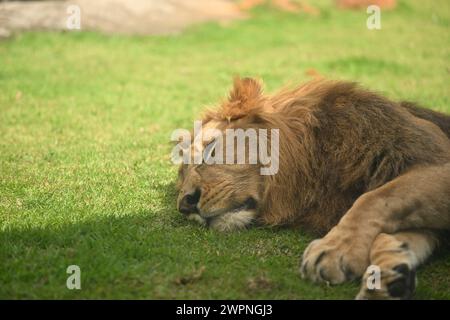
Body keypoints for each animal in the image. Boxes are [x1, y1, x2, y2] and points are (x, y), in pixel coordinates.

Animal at [175, 77, 450, 300]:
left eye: (211, 148)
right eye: (183, 174)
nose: (185, 204)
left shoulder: (434, 159)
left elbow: (375, 198)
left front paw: (334, 250)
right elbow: (396, 230)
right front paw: (388, 275)